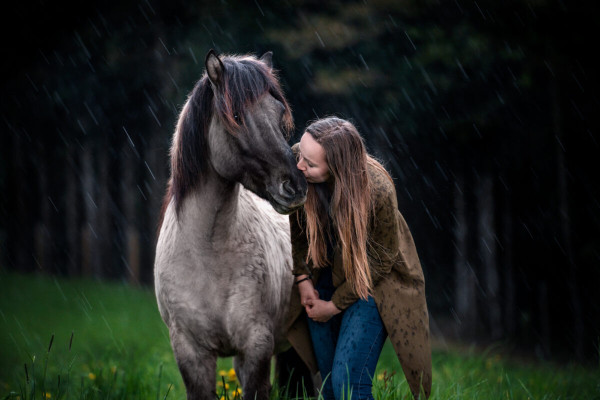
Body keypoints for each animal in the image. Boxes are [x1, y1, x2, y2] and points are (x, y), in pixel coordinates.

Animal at [155, 50, 308, 400]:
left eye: (279, 112)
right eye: (236, 115)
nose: (295, 186)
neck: (208, 255)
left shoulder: (255, 348)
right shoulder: (190, 353)